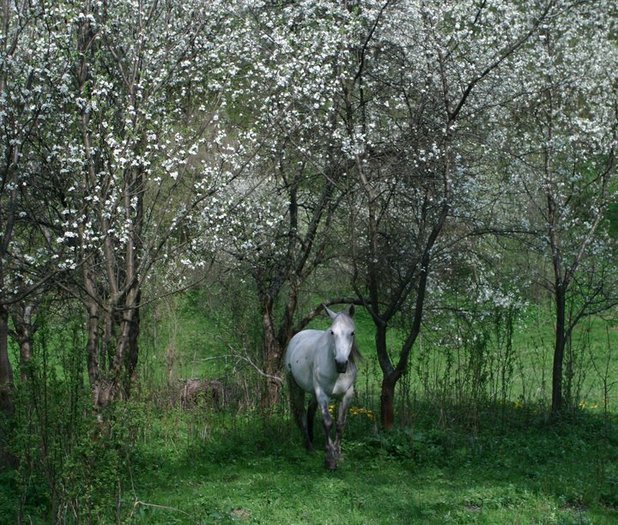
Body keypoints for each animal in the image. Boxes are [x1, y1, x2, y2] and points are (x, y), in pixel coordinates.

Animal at [282, 304, 358, 468]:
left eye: (352, 332)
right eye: (332, 332)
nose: (341, 364)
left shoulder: (347, 395)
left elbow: (341, 423)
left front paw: (337, 454)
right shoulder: (322, 394)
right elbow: (327, 422)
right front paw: (330, 459)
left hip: (313, 392)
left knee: (310, 411)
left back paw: (312, 440)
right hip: (296, 386)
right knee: (301, 413)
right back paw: (309, 446)